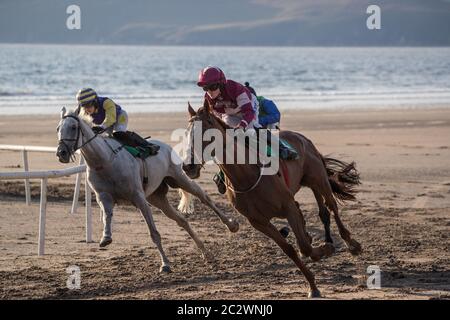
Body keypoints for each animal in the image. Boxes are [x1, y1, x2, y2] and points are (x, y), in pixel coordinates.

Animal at [55, 108, 239, 272]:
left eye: (73, 127)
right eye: (58, 128)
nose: (61, 153)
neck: (105, 161)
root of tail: (164, 145)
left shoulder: (139, 198)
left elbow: (154, 234)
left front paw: (165, 264)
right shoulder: (104, 196)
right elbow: (107, 215)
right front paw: (105, 237)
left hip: (178, 178)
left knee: (203, 197)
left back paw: (231, 225)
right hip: (157, 198)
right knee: (182, 220)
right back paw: (206, 253)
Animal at [183, 103, 362, 298]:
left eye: (207, 132)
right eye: (187, 133)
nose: (188, 166)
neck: (245, 176)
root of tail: (303, 138)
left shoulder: (287, 207)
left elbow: (304, 246)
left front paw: (324, 251)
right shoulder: (258, 222)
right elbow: (290, 249)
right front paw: (313, 285)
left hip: (318, 178)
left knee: (331, 206)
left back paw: (352, 244)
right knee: (318, 212)